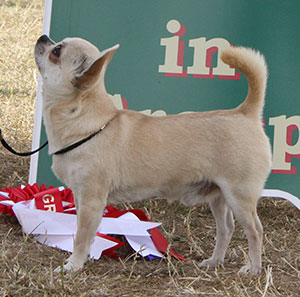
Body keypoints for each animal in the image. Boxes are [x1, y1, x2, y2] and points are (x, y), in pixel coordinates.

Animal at [34, 34, 272, 272]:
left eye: (56, 52)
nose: (44, 37)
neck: (90, 125)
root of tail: (245, 112)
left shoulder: (91, 201)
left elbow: (82, 237)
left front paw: (73, 265)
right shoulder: (80, 197)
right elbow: (83, 233)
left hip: (239, 197)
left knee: (255, 230)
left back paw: (253, 268)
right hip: (219, 197)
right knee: (226, 228)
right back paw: (215, 261)